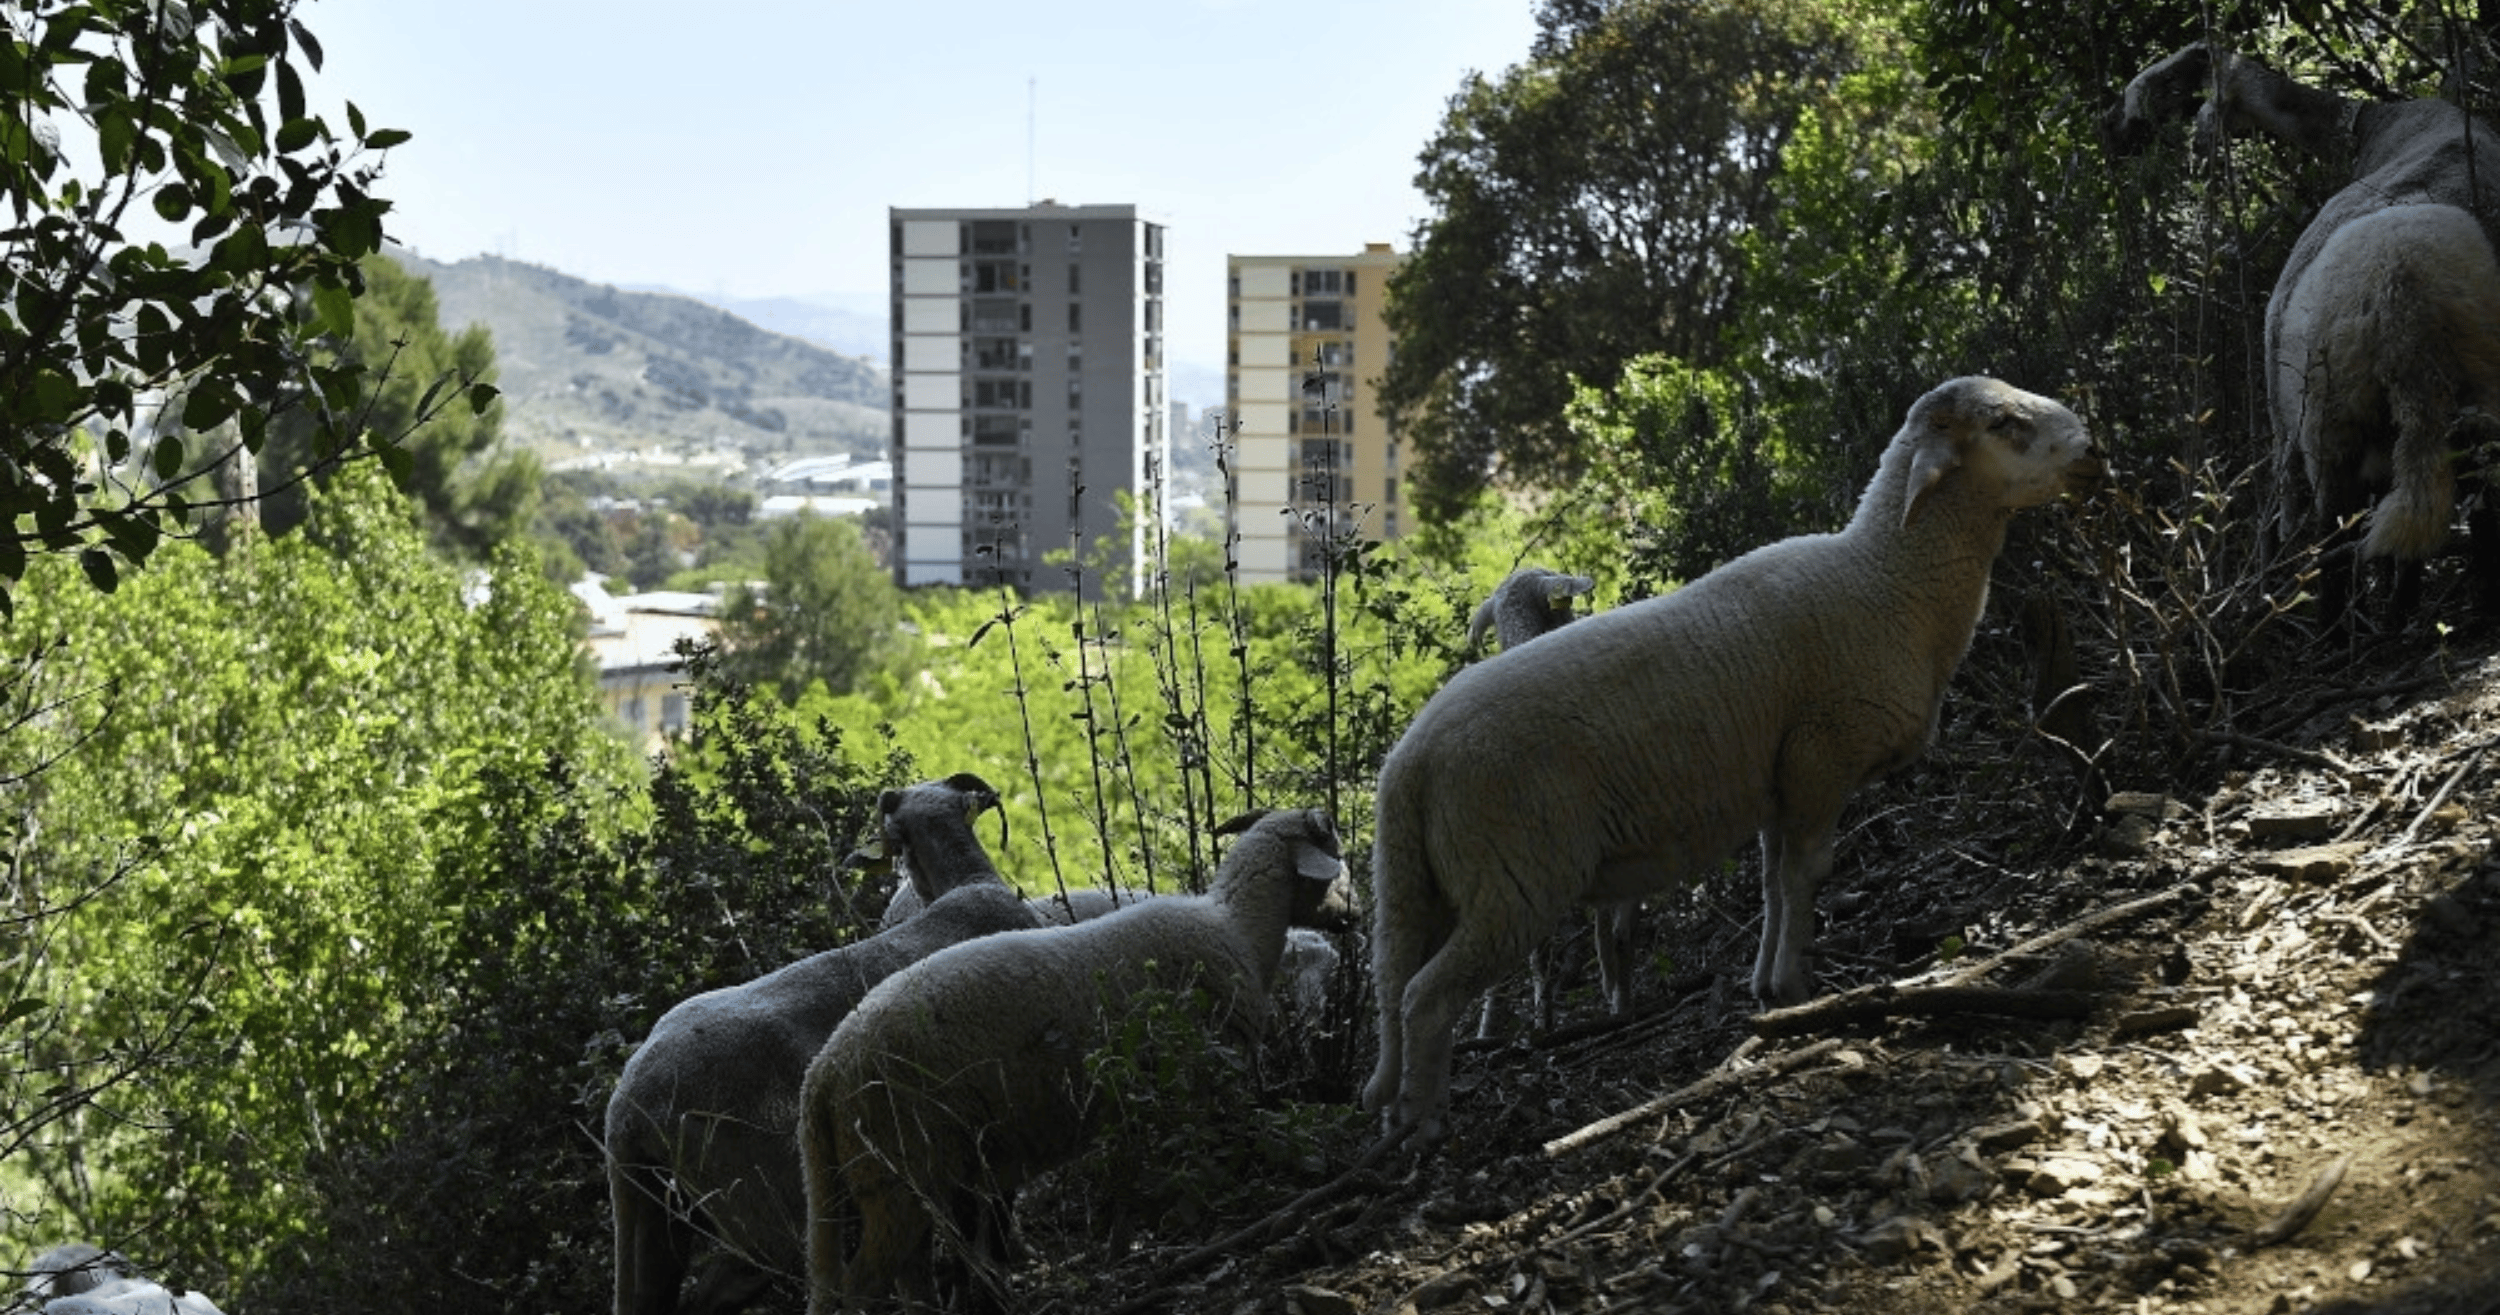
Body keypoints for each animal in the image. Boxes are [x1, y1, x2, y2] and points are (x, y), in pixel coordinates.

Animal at [798, 808, 1351, 1313]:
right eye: (1334, 853)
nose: (1353, 916)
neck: (1239, 927)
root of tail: (822, 1075)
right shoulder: (1202, 1079)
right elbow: (1201, 1162)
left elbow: (1130, 1182)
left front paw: (1120, 1246)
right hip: (899, 1167)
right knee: (865, 1282)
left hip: (888, 1175)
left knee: (907, 1272)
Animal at [1361, 377, 2104, 1140]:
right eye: (2004, 422)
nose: (2094, 454)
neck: (1887, 581)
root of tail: (1407, 767)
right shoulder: (1820, 754)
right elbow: (1808, 875)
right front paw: (1799, 987)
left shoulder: (1783, 779)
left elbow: (1775, 882)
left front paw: (1767, 986)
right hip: (1516, 875)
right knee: (1426, 996)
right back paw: (1423, 1123)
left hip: (1421, 883)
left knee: (1393, 985)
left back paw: (1394, 1114)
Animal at [2107, 42, 2500, 623]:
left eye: (2168, 83)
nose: (2115, 135)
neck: (2367, 127)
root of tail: (2405, 299)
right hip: (2466, 403)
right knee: (2471, 506)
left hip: (2329, 426)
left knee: (2334, 540)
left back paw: (2337, 624)